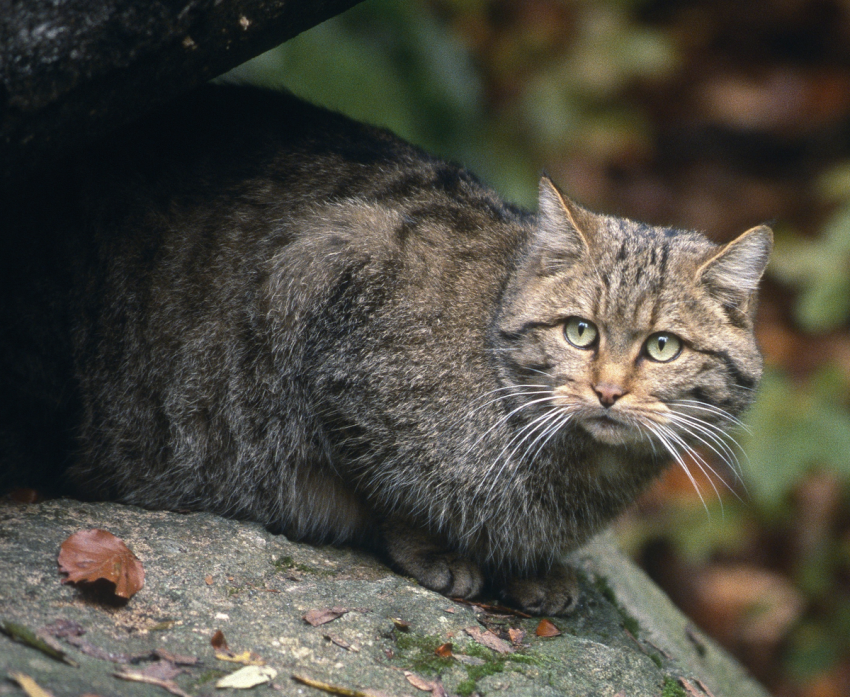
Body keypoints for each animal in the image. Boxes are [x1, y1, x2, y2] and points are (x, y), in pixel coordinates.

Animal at [0, 84, 768, 612]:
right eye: (581, 331)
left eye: (662, 347)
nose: (608, 389)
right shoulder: (314, 280)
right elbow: (387, 491)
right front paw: (440, 547)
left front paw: (530, 566)